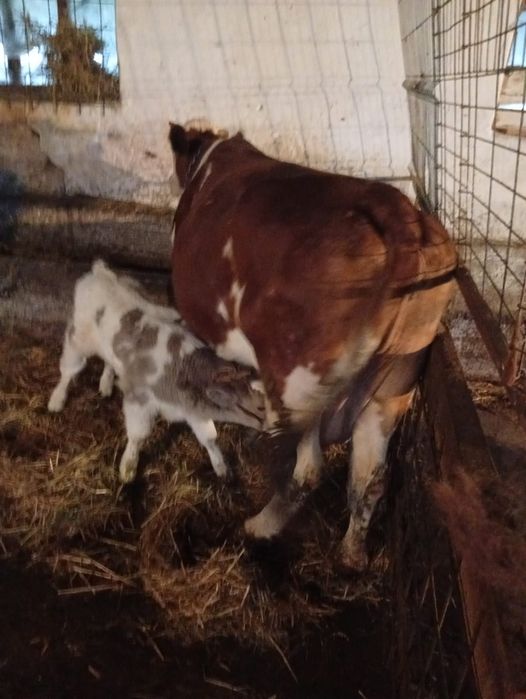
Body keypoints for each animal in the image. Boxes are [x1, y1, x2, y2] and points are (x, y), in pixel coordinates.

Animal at [48, 260, 265, 483]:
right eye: (258, 406)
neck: (183, 367)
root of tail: (101, 272)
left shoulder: (192, 408)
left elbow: (209, 438)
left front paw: (221, 468)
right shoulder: (139, 399)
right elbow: (138, 435)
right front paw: (128, 468)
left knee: (109, 361)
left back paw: (106, 384)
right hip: (78, 339)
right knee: (69, 370)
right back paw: (56, 400)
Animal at [168, 124, 457, 571]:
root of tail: (399, 215)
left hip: (296, 377)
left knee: (302, 469)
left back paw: (258, 526)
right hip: (396, 380)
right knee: (370, 477)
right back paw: (351, 555)